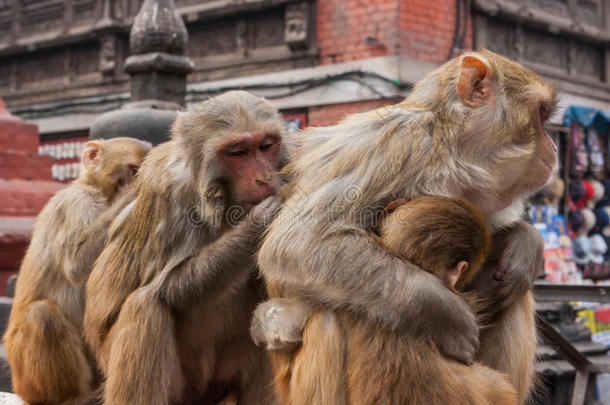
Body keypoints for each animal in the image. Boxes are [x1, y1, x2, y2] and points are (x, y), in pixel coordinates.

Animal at [5, 137, 152, 402]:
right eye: (134, 171)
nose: (132, 185)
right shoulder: (76, 202)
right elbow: (77, 263)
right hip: (23, 377)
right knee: (42, 315)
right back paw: (70, 398)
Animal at [83, 91, 290, 404]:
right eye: (238, 153)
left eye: (266, 146)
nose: (264, 177)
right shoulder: (171, 191)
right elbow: (169, 287)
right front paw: (258, 224)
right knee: (146, 305)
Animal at [255, 49, 552, 402]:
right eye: (542, 115)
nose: (554, 146)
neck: (450, 150)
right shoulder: (400, 143)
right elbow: (300, 242)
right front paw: (446, 314)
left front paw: (525, 243)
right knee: (326, 314)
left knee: (512, 292)